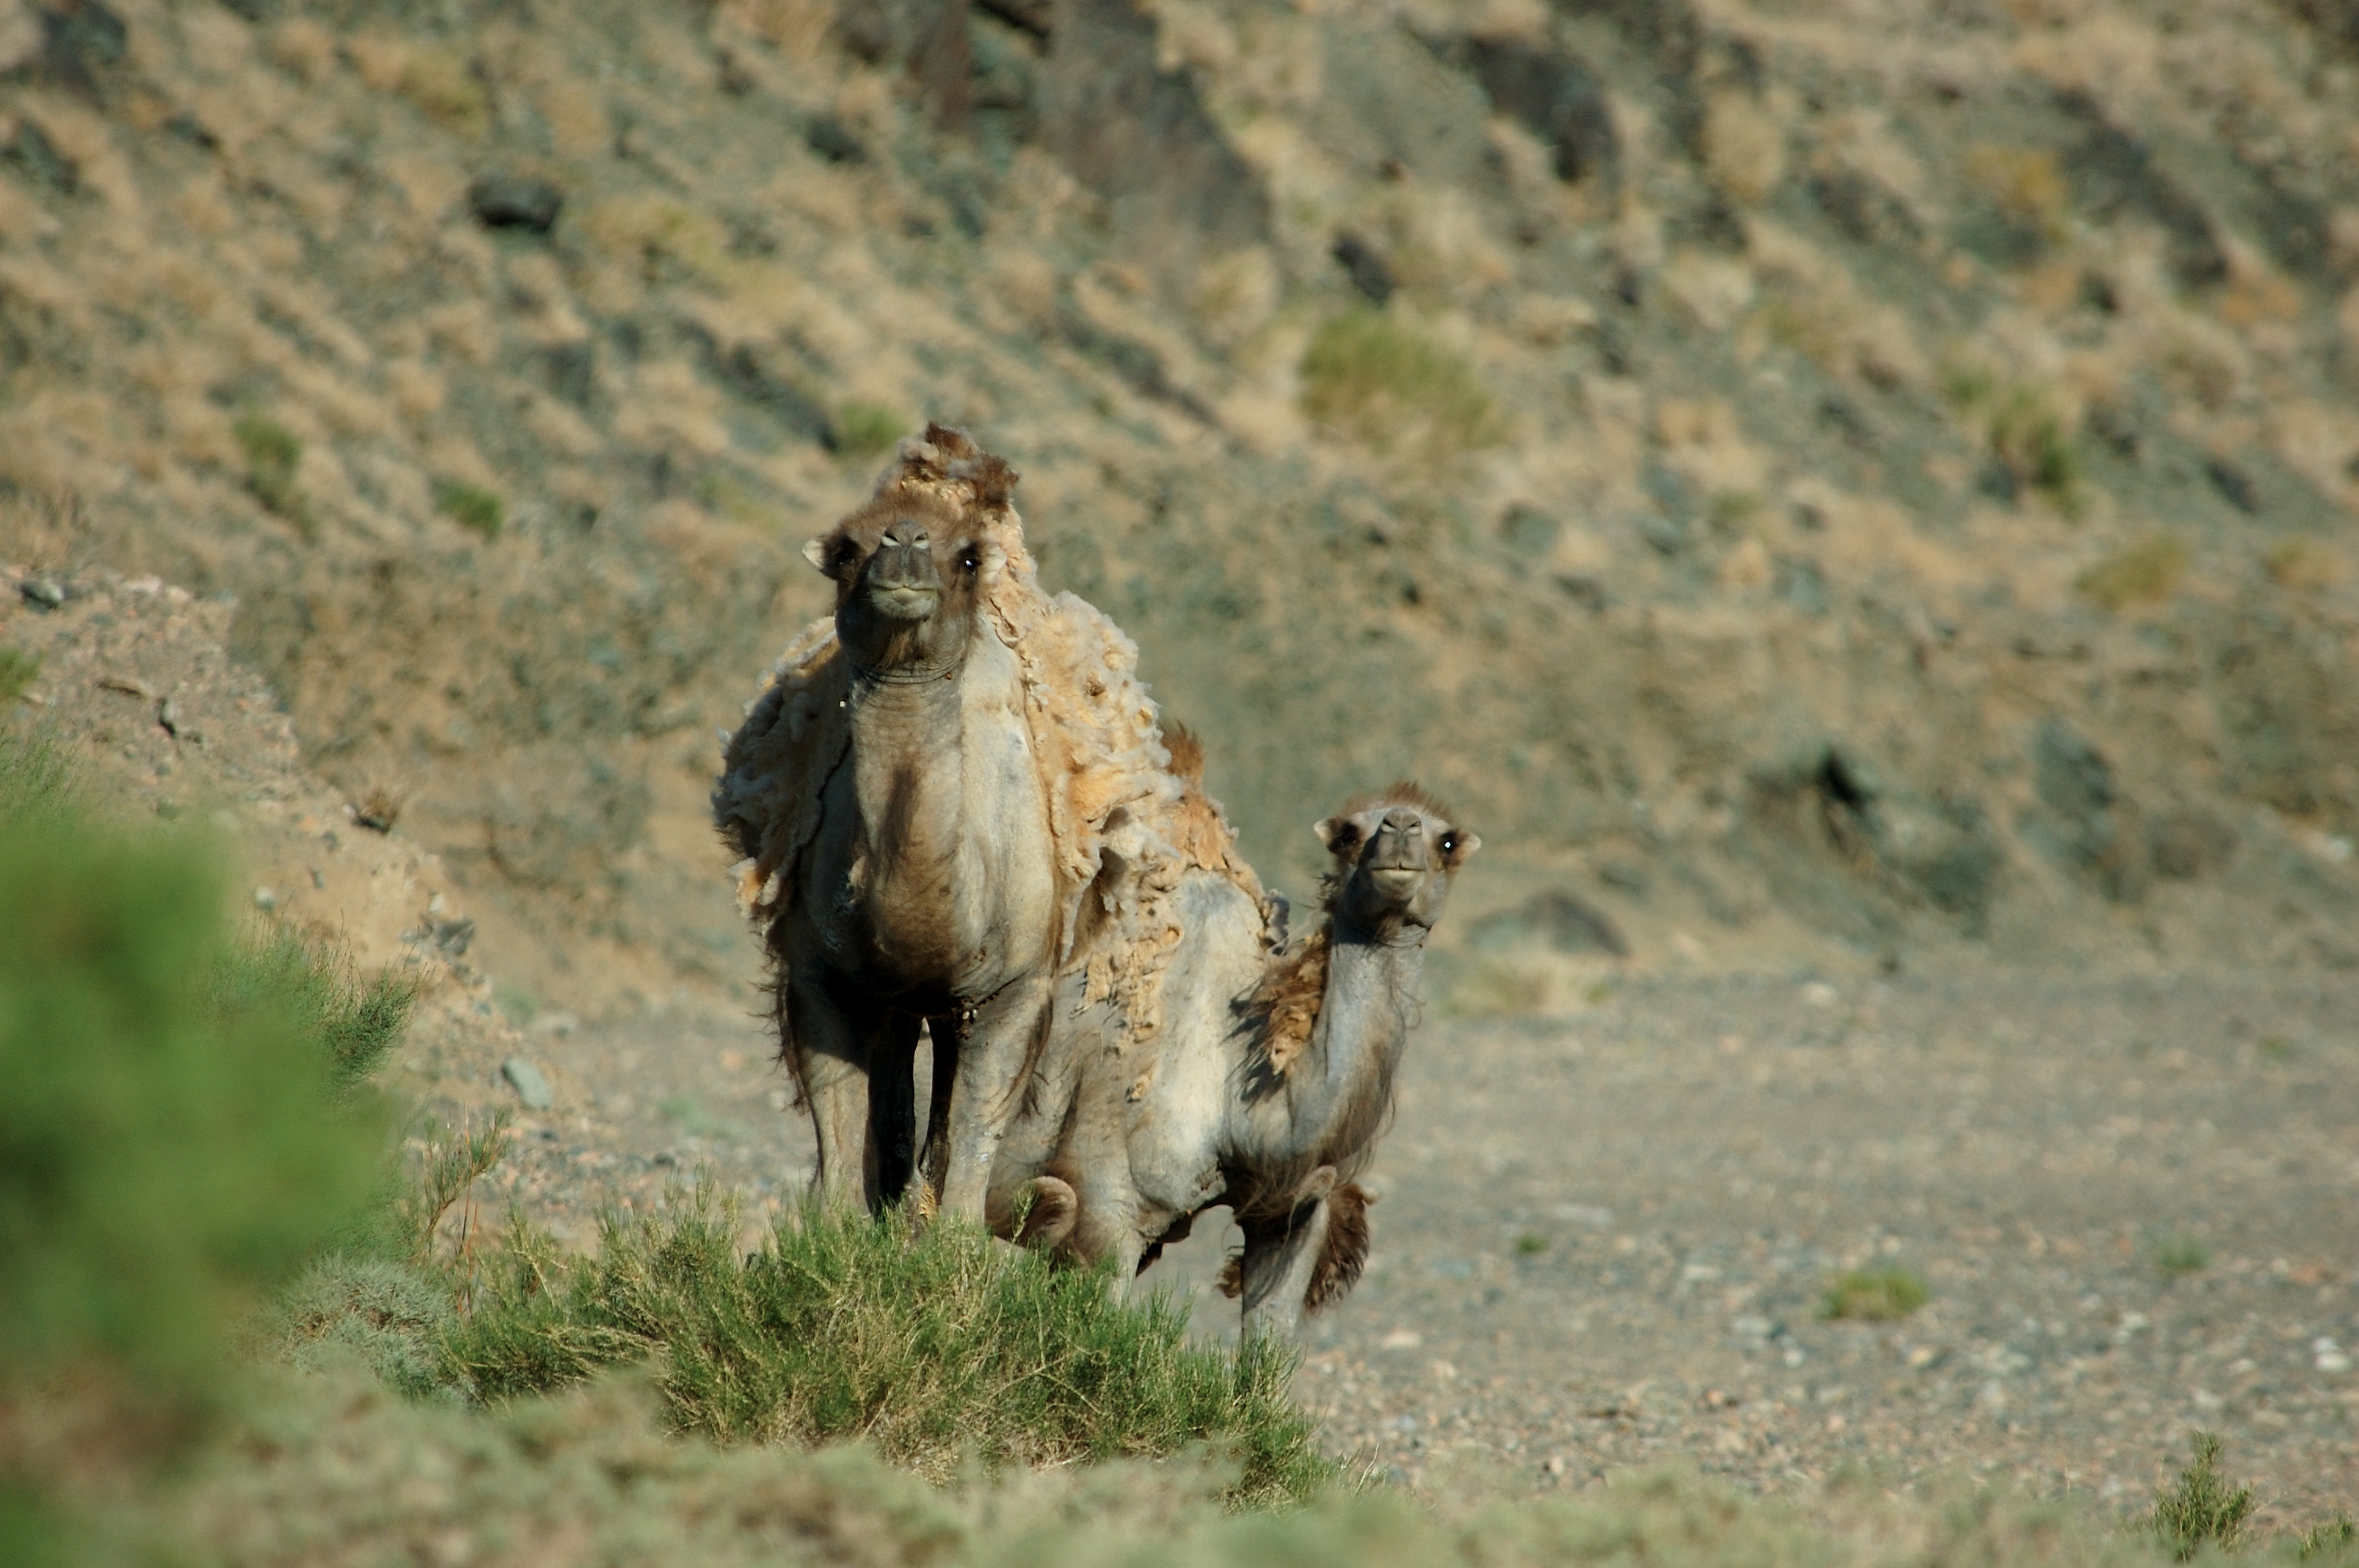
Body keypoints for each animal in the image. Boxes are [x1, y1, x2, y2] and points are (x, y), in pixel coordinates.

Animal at [714, 428, 1269, 1219]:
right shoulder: (819, 973)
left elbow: (977, 1128)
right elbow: (837, 1126)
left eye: (969, 557)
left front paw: (946, 1235)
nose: (904, 543)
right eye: (847, 551)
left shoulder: (1015, 985)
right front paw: (839, 1230)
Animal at [985, 768, 1478, 1340]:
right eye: (1349, 834)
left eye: (1447, 841)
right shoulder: (1103, 1210)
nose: (1400, 827)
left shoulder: (1288, 1214)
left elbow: (1267, 1346)